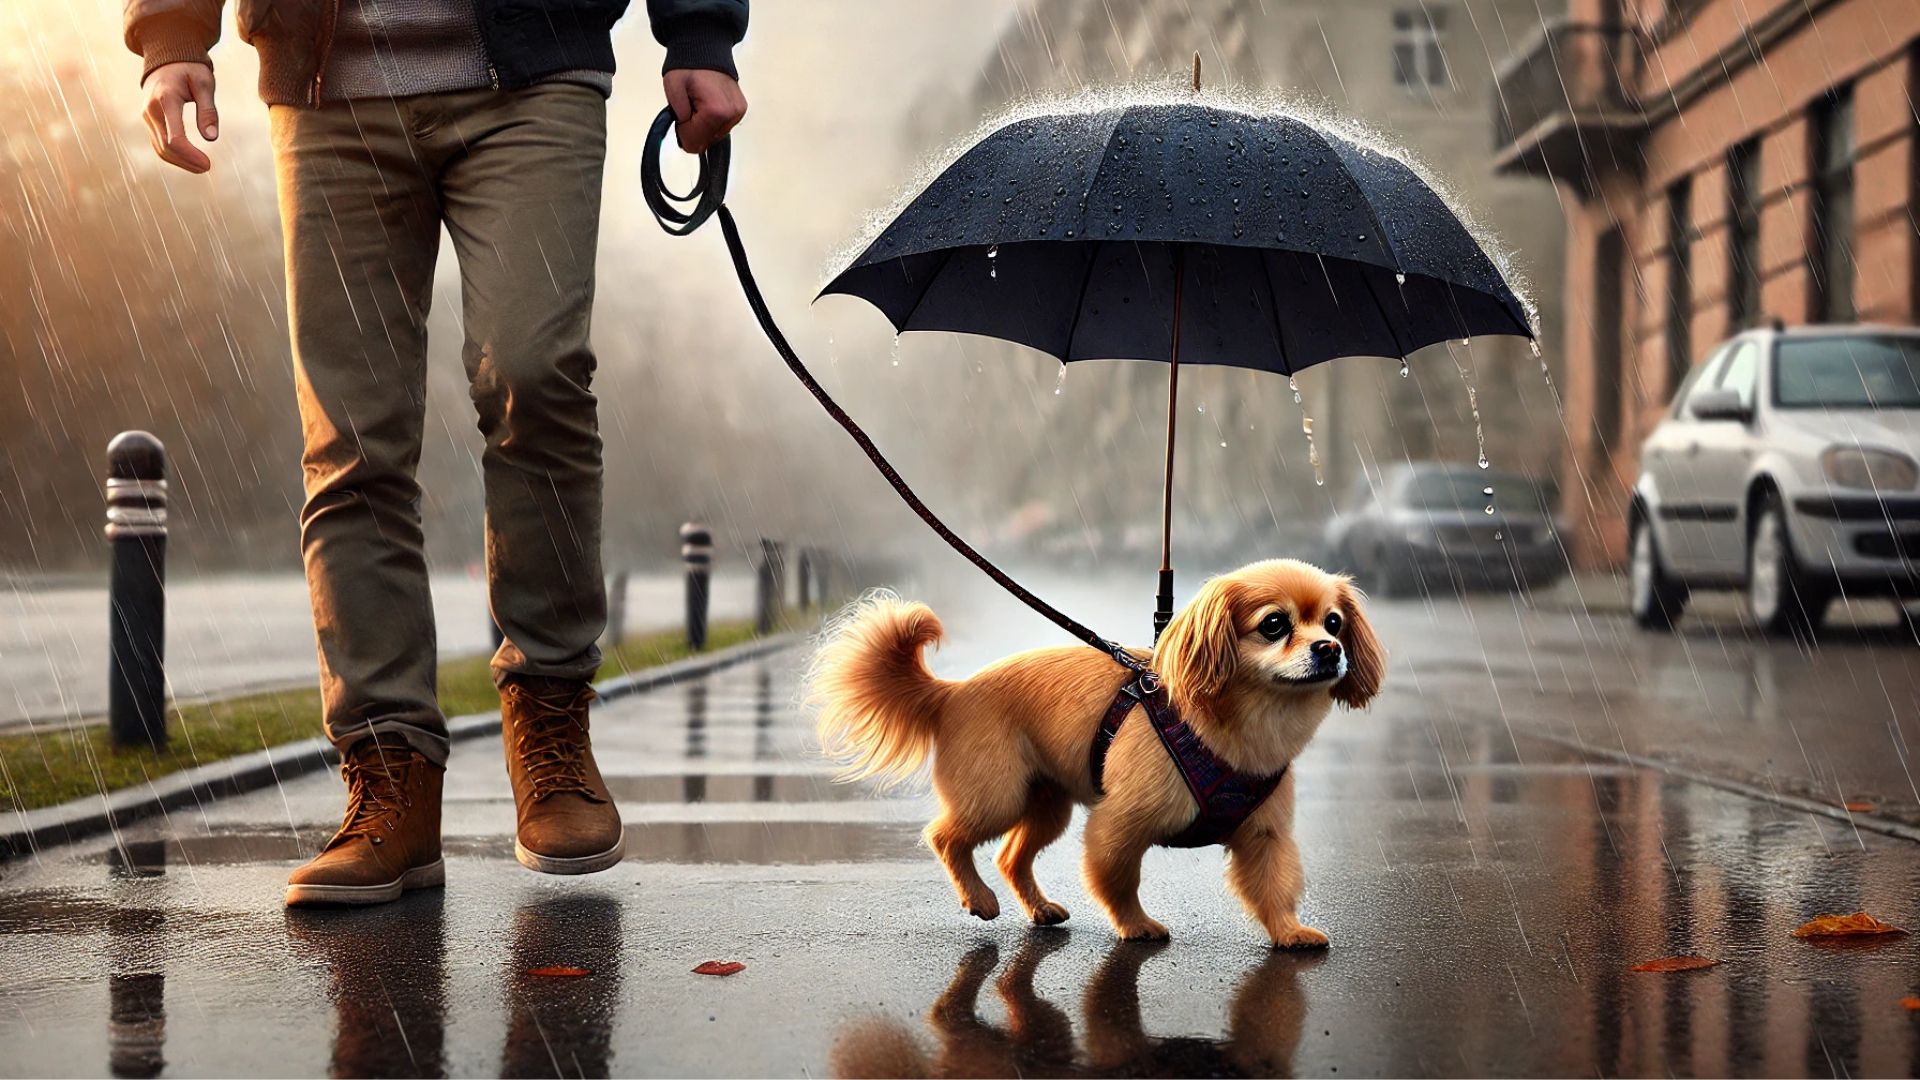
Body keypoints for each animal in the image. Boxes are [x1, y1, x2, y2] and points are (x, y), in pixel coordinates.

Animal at [810, 557, 1382, 945]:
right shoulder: (1119, 826)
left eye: (1334, 623)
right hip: (997, 798)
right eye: (1274, 624)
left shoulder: (1265, 836)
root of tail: (952, 692)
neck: (1247, 726)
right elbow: (1119, 882)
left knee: (1012, 856)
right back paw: (978, 899)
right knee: (945, 836)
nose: (1330, 649)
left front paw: (1289, 932)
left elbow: (1275, 886)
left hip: (1047, 807)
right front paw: (1137, 925)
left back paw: (1039, 908)